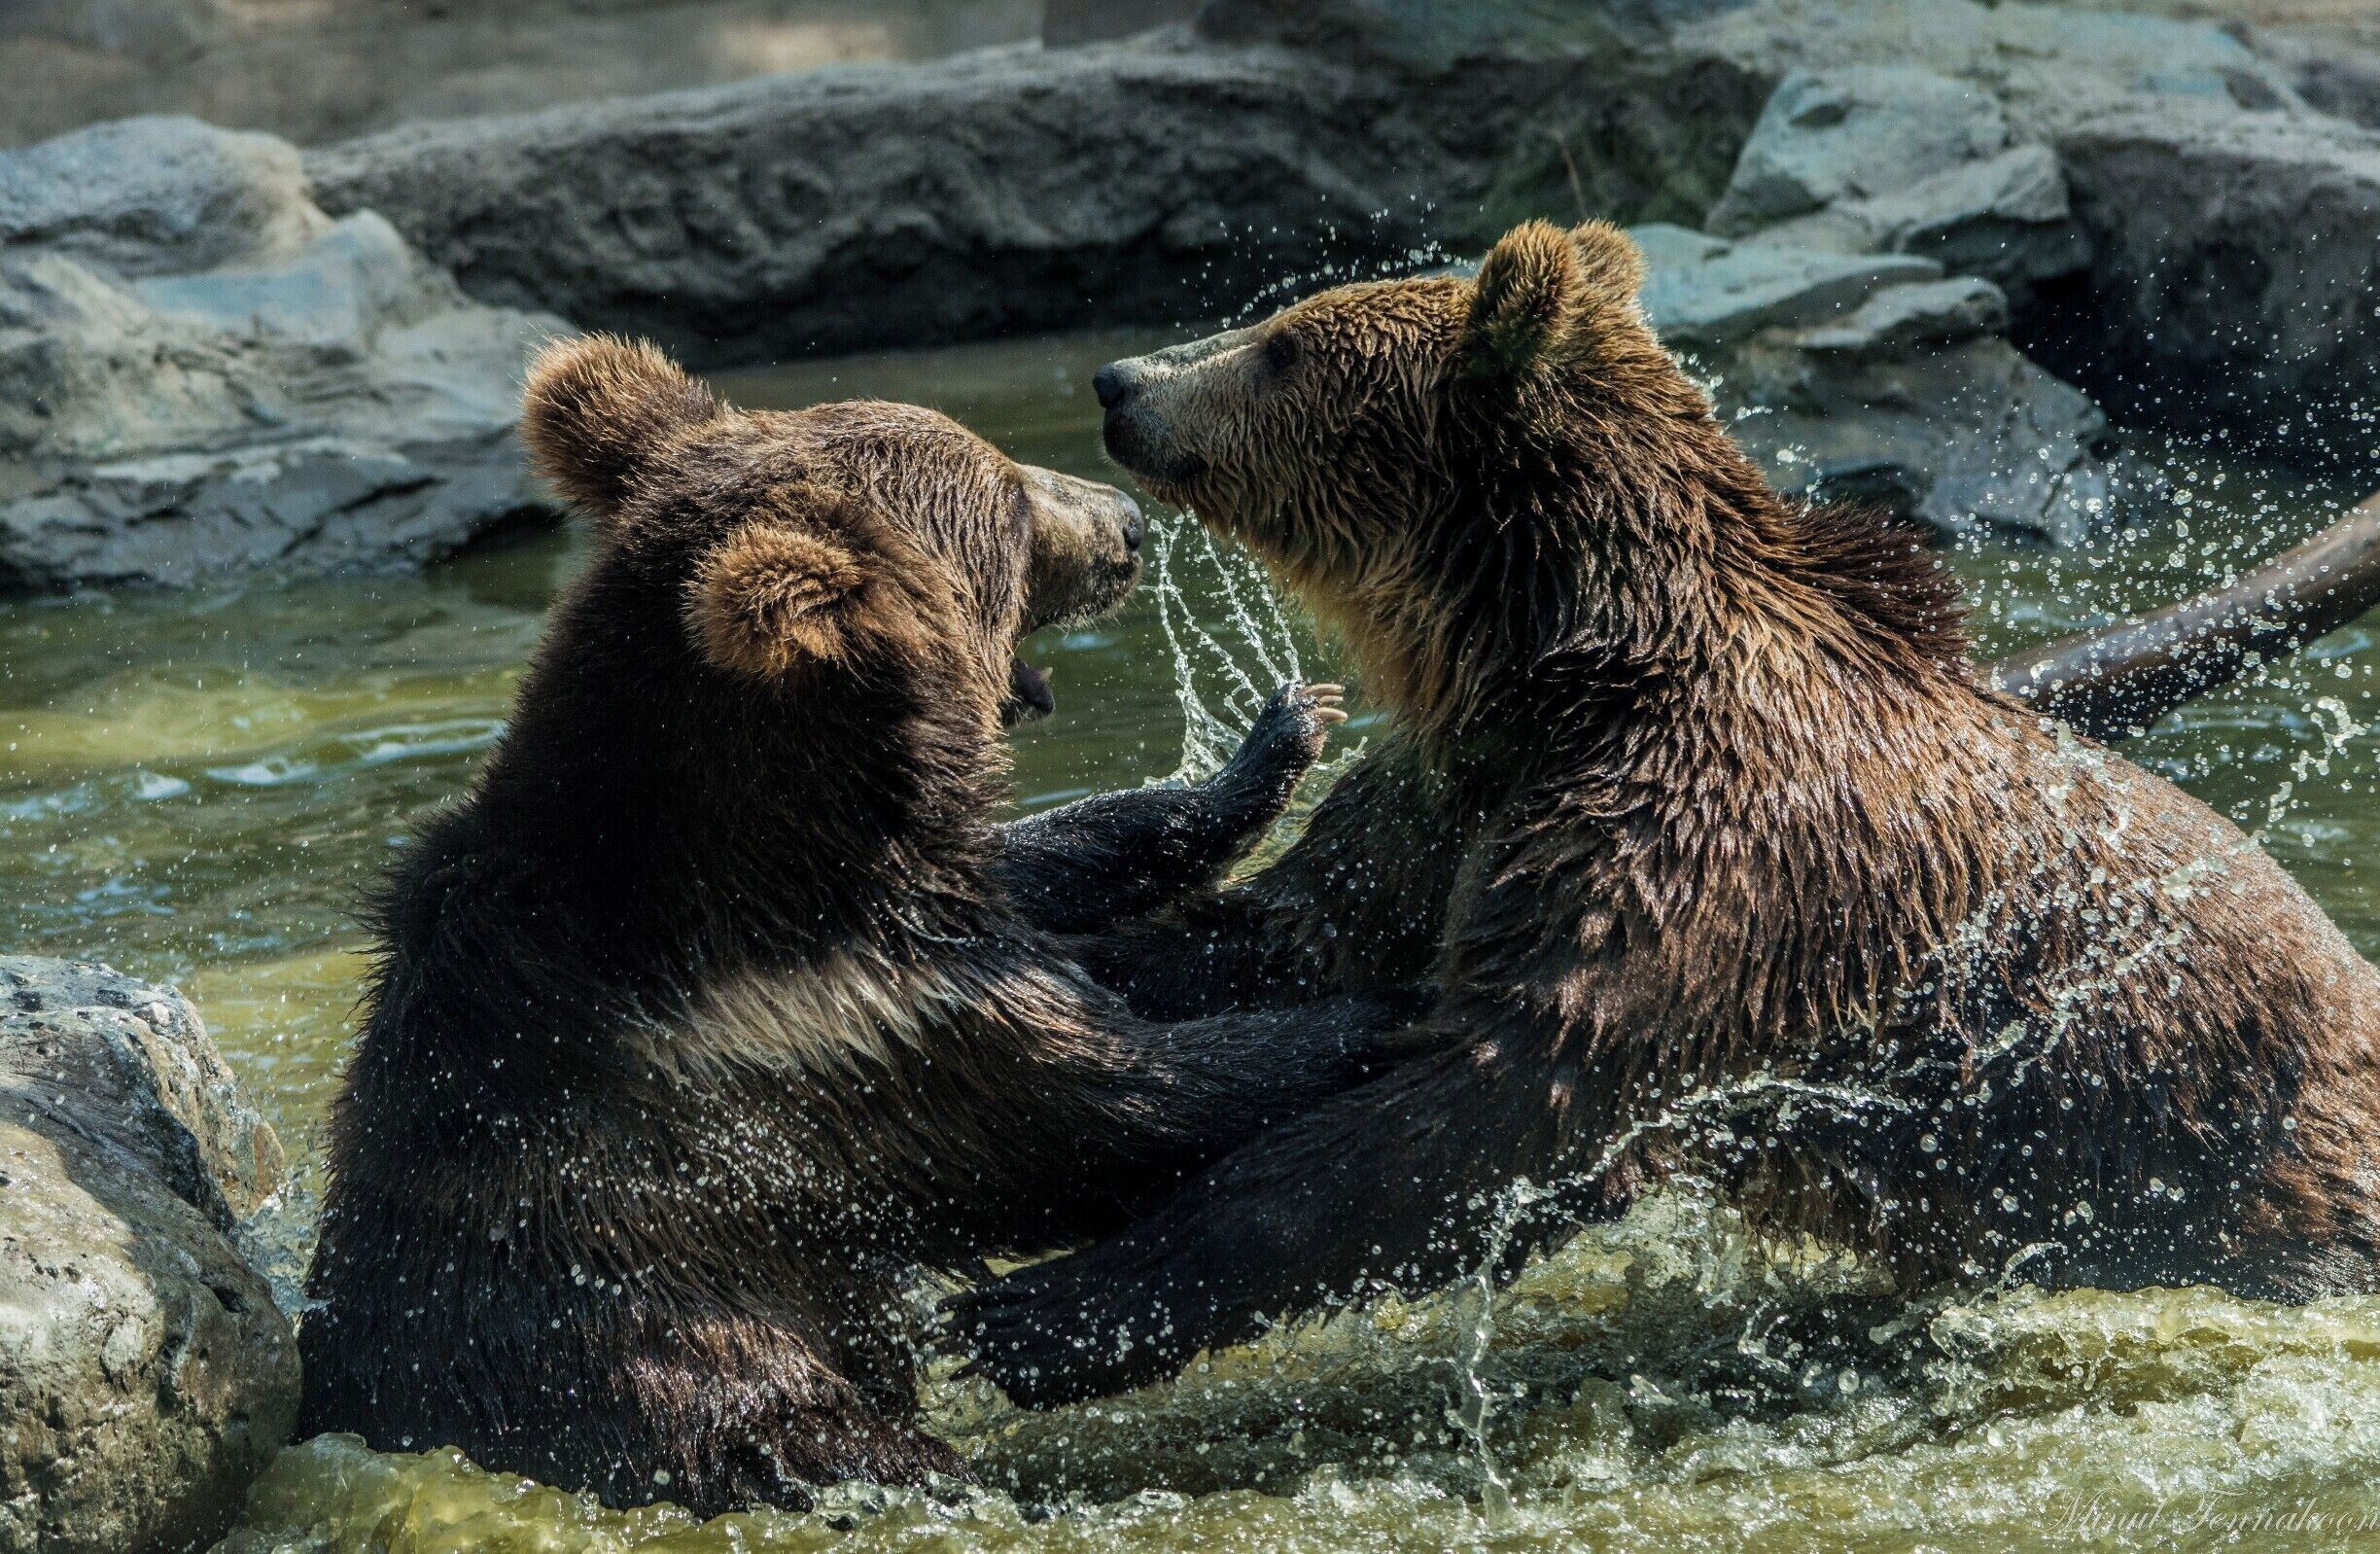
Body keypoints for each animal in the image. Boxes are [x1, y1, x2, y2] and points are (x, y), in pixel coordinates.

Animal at [296, 334, 1416, 1515]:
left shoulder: (904, 925)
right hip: (700, 1396)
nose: (1127, 524)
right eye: (1011, 503)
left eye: (1004, 464)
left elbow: (1041, 867)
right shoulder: (823, 1036)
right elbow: (1108, 1108)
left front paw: (1275, 737)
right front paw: (1367, 1013)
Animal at [951, 219, 2380, 1408]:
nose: (1119, 380)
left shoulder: (1704, 860)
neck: (1549, 662)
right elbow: (1284, 934)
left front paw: (1033, 1314)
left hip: (2239, 1171)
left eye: (1285, 343)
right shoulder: (1454, 803)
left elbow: (1498, 1109)